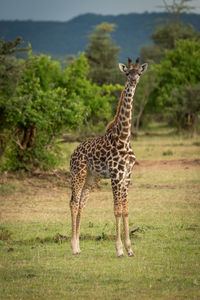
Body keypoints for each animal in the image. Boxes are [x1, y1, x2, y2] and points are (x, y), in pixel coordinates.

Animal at [69, 56, 148, 258]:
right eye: (127, 73)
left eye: (139, 73)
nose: (133, 81)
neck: (124, 138)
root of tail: (73, 153)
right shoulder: (115, 175)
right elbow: (117, 210)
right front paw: (119, 249)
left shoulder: (127, 175)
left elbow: (126, 210)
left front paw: (130, 249)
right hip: (78, 174)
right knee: (73, 202)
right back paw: (73, 247)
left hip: (92, 179)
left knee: (82, 204)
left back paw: (79, 246)